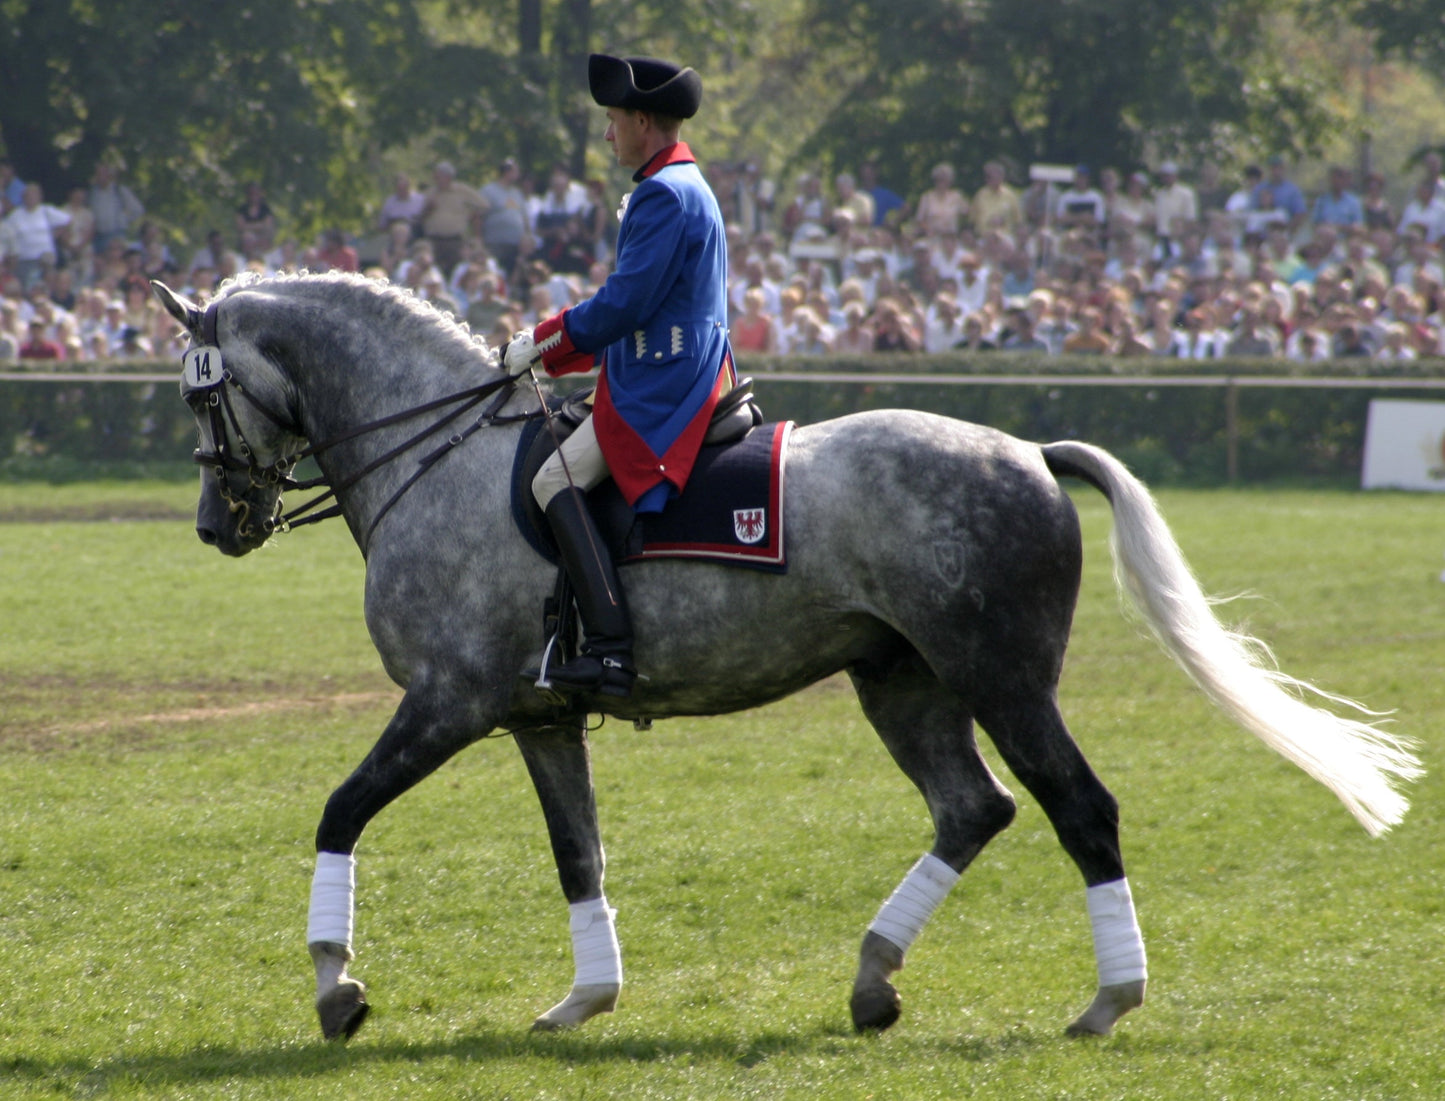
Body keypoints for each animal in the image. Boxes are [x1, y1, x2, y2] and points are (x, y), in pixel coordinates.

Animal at [151, 272, 1420, 1044]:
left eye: (200, 400)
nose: (217, 524)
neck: (440, 454)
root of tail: (1021, 449)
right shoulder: (537, 718)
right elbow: (578, 854)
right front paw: (586, 995)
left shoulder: (445, 703)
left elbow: (339, 812)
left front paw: (336, 983)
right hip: (900, 682)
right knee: (972, 809)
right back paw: (872, 977)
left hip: (1001, 681)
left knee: (1079, 808)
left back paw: (1110, 996)